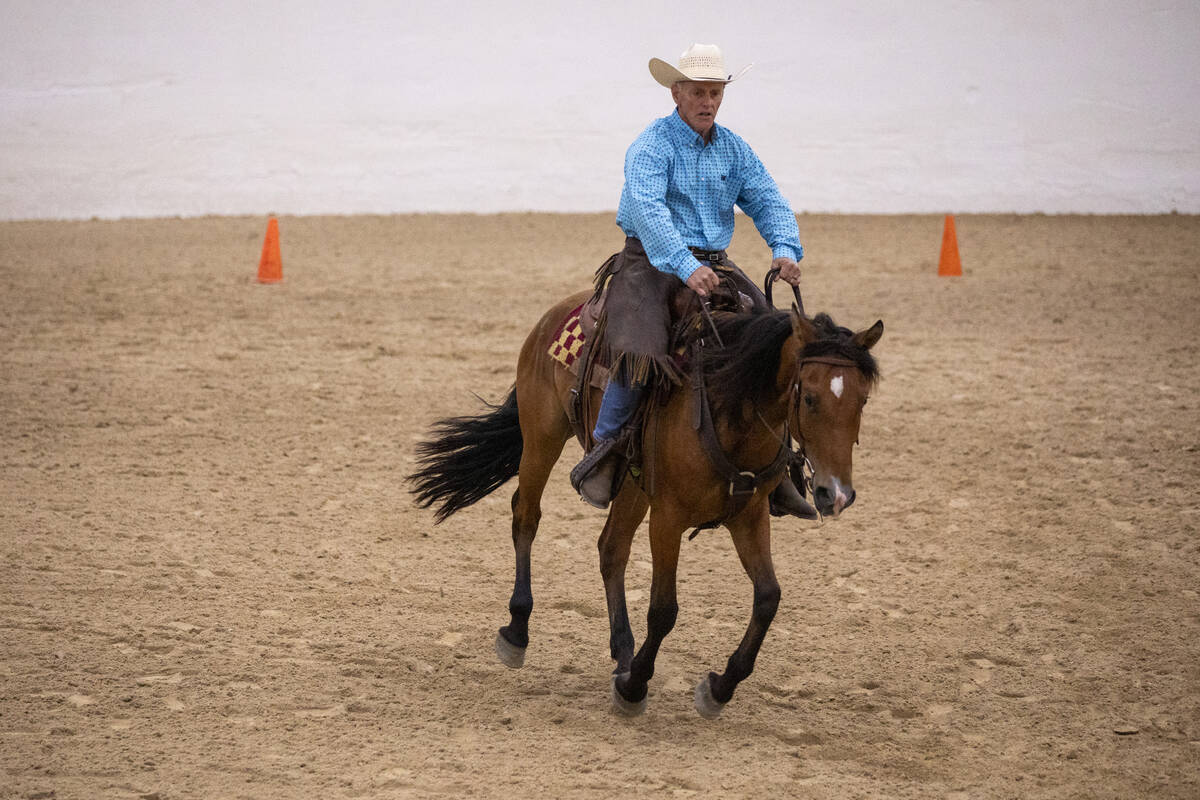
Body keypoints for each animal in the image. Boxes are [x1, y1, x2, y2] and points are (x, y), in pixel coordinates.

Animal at [408, 283, 888, 719]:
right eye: (809, 397)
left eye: (862, 399)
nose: (836, 494)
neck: (726, 407)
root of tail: (560, 310)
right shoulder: (668, 517)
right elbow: (663, 610)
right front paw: (635, 686)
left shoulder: (749, 515)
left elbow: (768, 598)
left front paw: (718, 688)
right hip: (542, 436)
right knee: (526, 517)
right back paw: (518, 630)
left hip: (631, 485)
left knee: (611, 549)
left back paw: (623, 651)